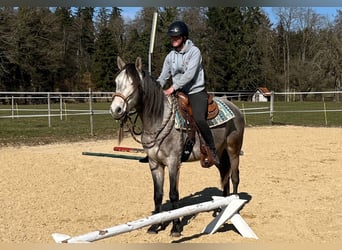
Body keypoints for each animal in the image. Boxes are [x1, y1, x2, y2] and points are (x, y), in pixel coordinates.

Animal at [108, 56, 244, 236]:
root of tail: (236, 109)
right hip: (220, 155)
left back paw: (235, 207)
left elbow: (173, 194)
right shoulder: (155, 164)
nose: (116, 109)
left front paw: (176, 227)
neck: (158, 119)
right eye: (117, 82)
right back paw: (222, 208)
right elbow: (158, 194)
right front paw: (154, 226)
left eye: (133, 83)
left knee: (234, 177)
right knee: (225, 176)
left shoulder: (173, 162)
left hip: (233, 150)